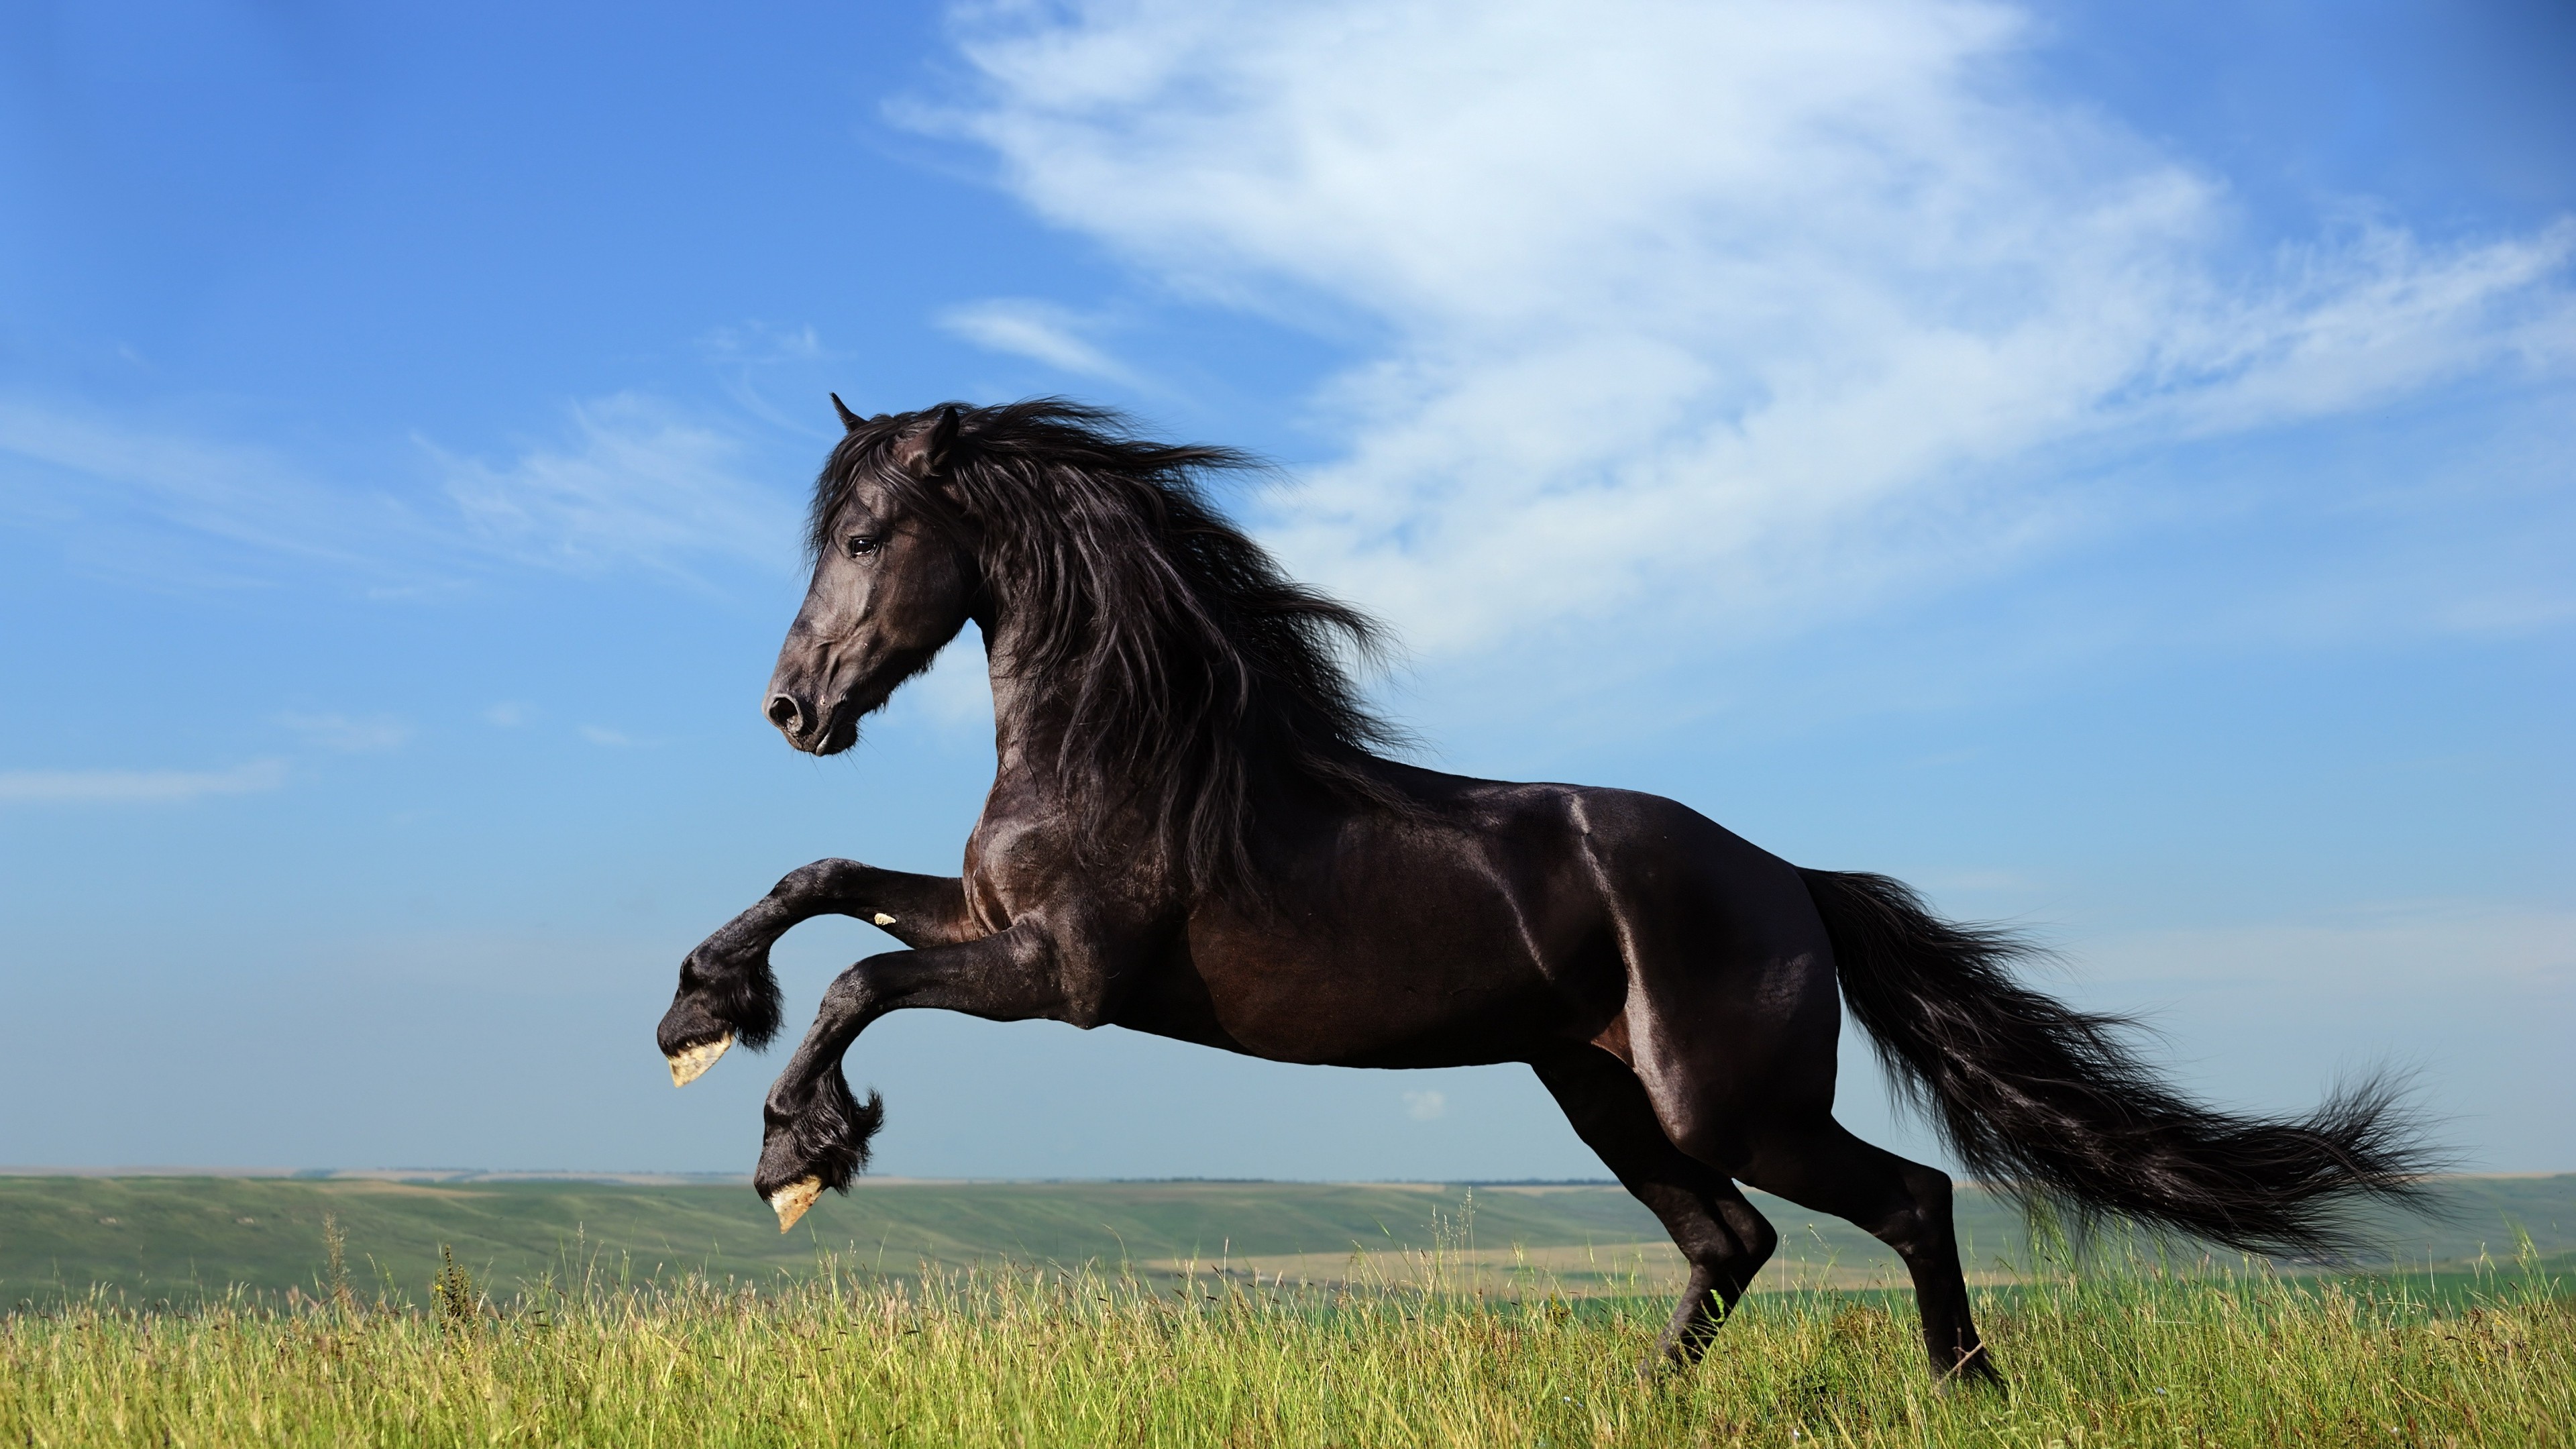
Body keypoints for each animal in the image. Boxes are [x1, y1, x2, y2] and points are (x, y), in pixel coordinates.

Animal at [656, 397, 2428, 1385]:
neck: (1129, 746)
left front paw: (797, 1151)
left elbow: (859, 979)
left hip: (1728, 1098)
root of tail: (1793, 881)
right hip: (1599, 1091)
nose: (794, 709)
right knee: (1729, 1242)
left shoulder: (1062, 975)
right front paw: (697, 1013)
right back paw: (1647, 1406)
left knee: (1902, 1202)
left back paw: (1967, 1389)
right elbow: (822, 882)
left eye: (867, 537)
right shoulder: (986, 920)